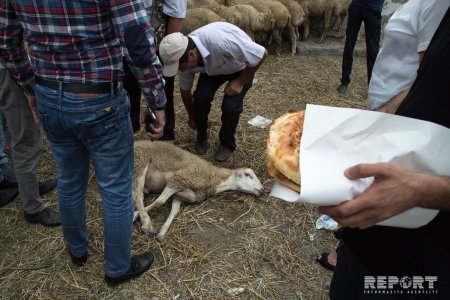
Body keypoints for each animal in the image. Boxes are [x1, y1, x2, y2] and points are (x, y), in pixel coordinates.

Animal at [131, 141, 264, 241]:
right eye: (248, 175)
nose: (262, 190)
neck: (213, 177)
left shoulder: (182, 188)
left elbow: (176, 210)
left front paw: (161, 233)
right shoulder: (179, 178)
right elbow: (160, 201)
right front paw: (137, 215)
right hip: (140, 165)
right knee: (138, 196)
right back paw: (146, 223)